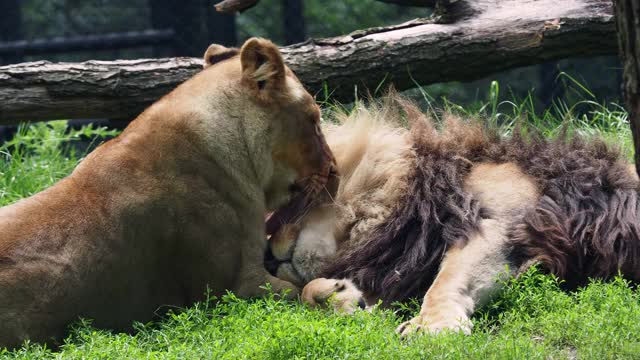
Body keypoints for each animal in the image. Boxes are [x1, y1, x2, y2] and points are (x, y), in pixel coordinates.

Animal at [264, 95, 640, 334]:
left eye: (280, 209)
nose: (266, 258)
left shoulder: (500, 222)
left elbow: (447, 279)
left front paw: (431, 325)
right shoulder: (406, 265)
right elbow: (309, 289)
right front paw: (341, 296)